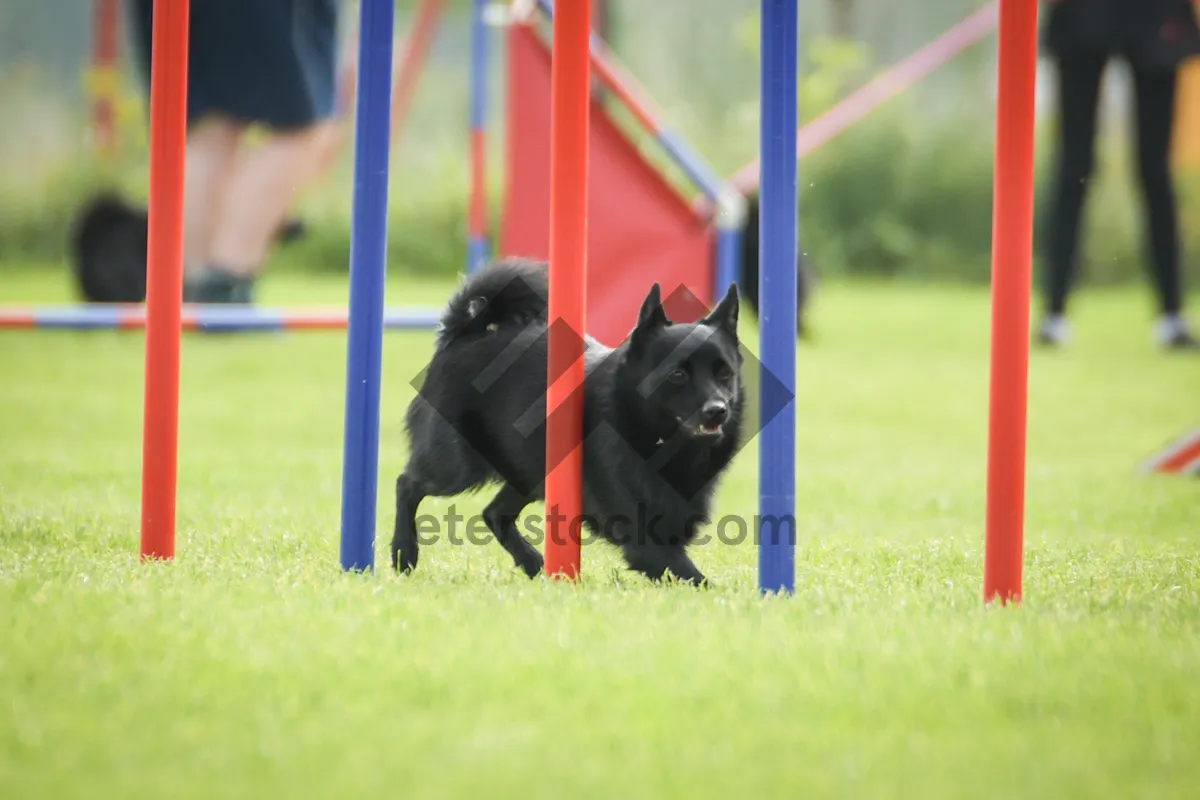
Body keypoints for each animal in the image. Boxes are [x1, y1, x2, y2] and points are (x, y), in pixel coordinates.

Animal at [393, 260, 744, 585]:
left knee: (494, 513)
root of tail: (465, 333)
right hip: (458, 465)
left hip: (528, 470)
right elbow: (695, 578)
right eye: (678, 374)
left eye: (725, 373)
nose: (717, 410)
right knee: (408, 484)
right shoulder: (642, 537)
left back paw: (534, 564)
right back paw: (403, 553)